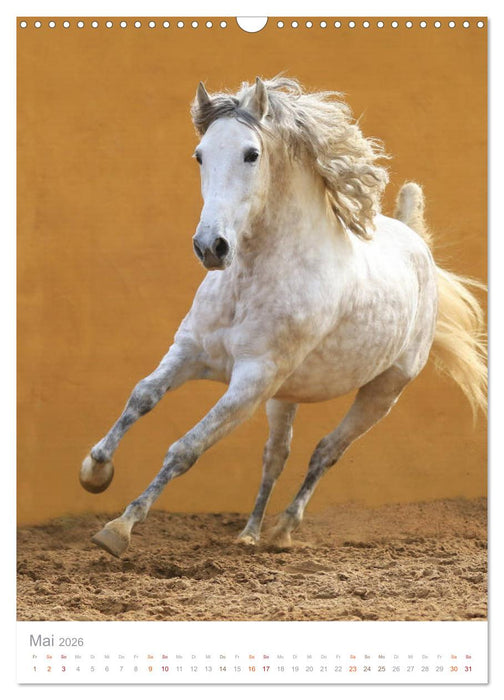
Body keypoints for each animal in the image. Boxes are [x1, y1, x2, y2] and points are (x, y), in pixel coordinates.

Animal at [80, 77, 487, 558]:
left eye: (251, 154)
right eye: (200, 154)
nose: (211, 247)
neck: (253, 280)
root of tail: (415, 240)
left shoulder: (252, 382)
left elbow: (186, 448)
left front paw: (119, 527)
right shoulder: (190, 351)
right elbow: (142, 396)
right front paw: (95, 471)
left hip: (381, 393)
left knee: (326, 451)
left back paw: (283, 529)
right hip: (285, 396)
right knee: (276, 455)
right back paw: (250, 532)